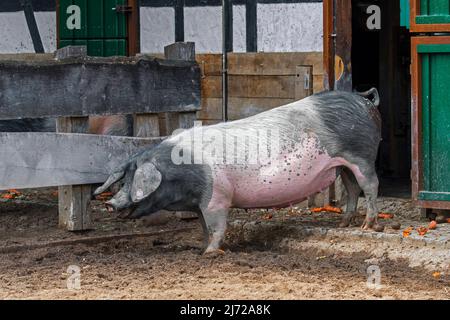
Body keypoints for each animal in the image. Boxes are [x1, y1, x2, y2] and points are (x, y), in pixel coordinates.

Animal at [95, 89, 384, 254]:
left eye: (132, 181)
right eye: (124, 179)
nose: (110, 203)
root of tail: (363, 99)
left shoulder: (216, 198)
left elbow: (217, 227)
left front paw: (209, 253)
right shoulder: (199, 204)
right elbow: (203, 227)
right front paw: (201, 248)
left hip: (362, 156)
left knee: (370, 186)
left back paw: (368, 225)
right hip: (342, 165)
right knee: (352, 189)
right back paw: (344, 223)